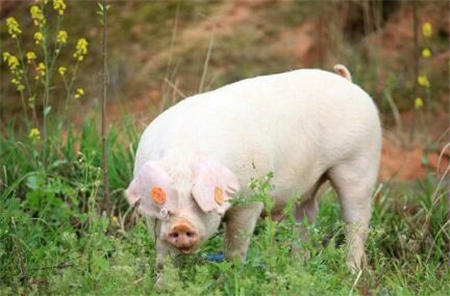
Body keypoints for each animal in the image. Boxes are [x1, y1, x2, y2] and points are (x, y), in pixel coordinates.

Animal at [125, 64, 382, 272]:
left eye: (199, 201)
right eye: (164, 205)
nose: (180, 226)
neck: (183, 156)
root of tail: (347, 82)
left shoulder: (249, 201)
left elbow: (235, 248)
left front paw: (231, 277)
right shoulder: (151, 220)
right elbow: (163, 256)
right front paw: (162, 285)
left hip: (358, 161)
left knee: (356, 219)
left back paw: (350, 273)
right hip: (309, 184)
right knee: (306, 216)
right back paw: (297, 268)